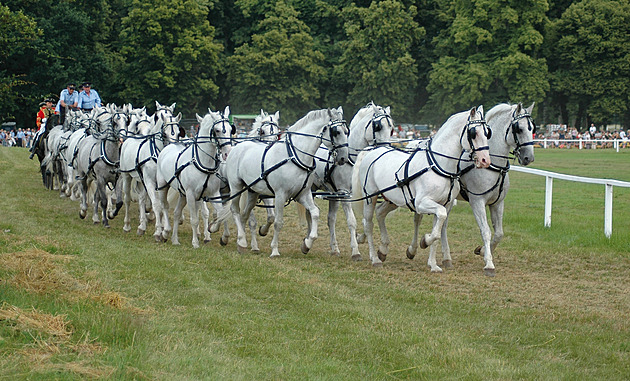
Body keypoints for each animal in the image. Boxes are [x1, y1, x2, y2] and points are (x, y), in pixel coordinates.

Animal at [156, 105, 235, 248]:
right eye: (217, 130)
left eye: (231, 129)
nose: (227, 153)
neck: (203, 162)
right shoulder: (191, 194)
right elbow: (194, 219)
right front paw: (195, 242)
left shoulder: (214, 193)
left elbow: (221, 213)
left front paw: (217, 232)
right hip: (163, 186)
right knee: (164, 206)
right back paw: (164, 232)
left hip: (182, 194)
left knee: (176, 213)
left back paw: (175, 239)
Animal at [221, 105, 350, 256]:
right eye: (336, 132)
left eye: (347, 131)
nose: (343, 158)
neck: (295, 156)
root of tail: (236, 147)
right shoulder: (280, 195)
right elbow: (278, 222)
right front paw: (275, 250)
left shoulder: (303, 194)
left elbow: (315, 213)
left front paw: (307, 244)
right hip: (236, 186)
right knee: (235, 209)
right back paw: (241, 239)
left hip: (252, 191)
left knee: (244, 214)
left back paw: (242, 242)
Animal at [356, 105, 494, 268]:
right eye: (473, 133)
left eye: (487, 132)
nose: (485, 160)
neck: (439, 166)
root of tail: (373, 151)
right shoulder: (422, 203)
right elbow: (439, 220)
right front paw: (424, 241)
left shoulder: (444, 205)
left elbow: (438, 230)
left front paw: (433, 264)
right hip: (370, 197)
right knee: (368, 224)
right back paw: (374, 258)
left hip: (392, 200)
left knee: (380, 213)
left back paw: (382, 250)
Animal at [428, 102, 536, 274]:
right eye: (518, 128)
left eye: (532, 128)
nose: (529, 158)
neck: (494, 165)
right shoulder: (477, 201)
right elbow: (485, 231)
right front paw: (489, 264)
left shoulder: (497, 203)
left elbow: (499, 233)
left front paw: (483, 251)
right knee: (443, 225)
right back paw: (446, 257)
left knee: (443, 224)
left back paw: (446, 258)